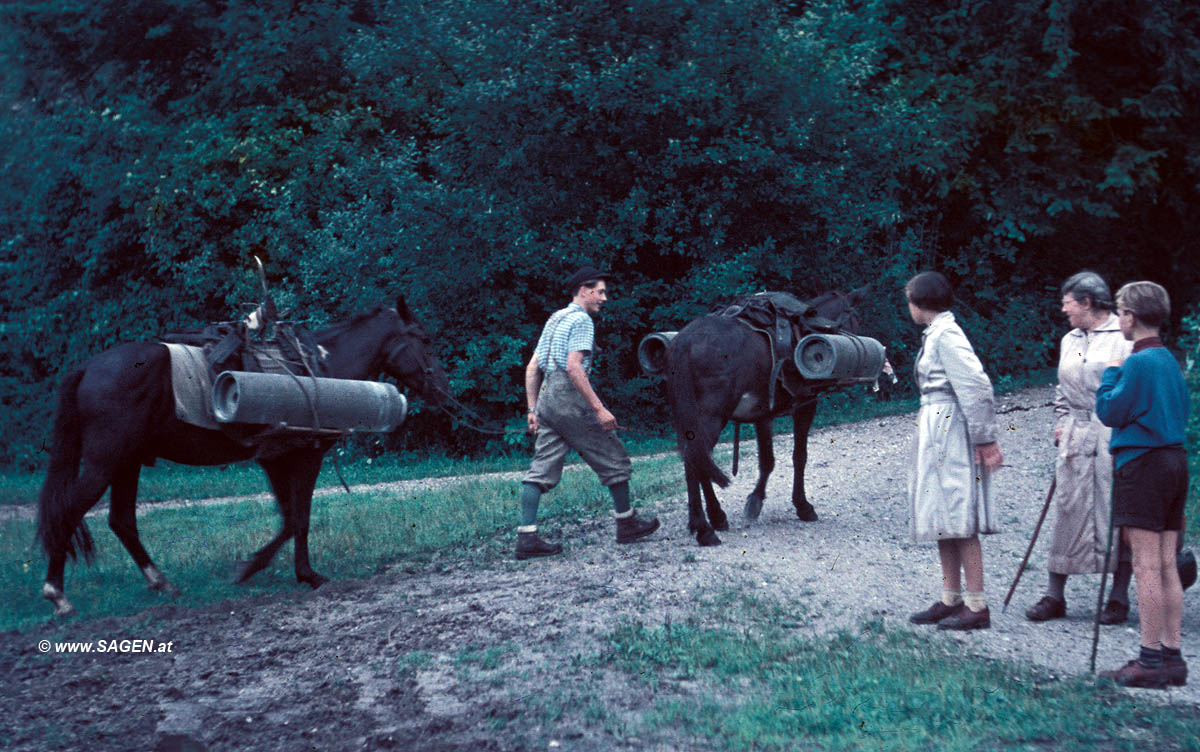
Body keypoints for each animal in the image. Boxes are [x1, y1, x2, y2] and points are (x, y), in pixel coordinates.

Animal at [638, 290, 892, 546]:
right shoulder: (806, 406)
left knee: (695, 460)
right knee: (695, 459)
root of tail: (683, 343)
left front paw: (755, 501)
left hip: (688, 417)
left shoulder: (763, 415)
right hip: (711, 417)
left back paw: (715, 518)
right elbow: (799, 456)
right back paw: (705, 529)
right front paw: (803, 506)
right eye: (855, 318)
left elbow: (767, 461)